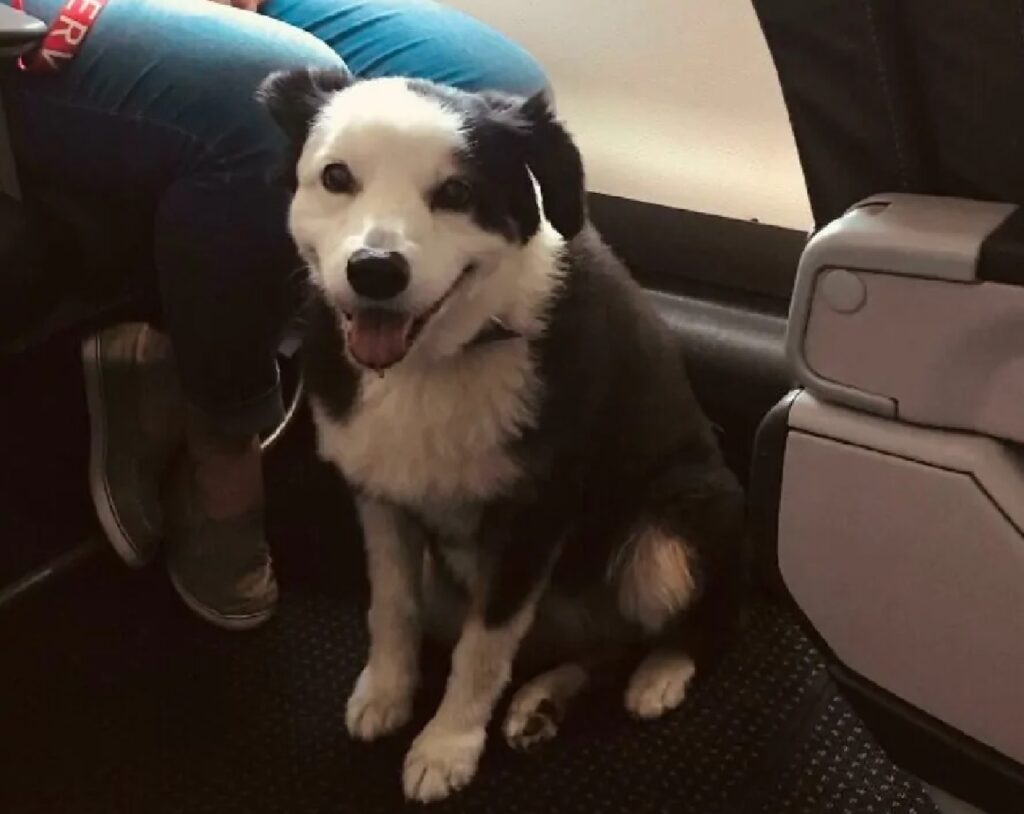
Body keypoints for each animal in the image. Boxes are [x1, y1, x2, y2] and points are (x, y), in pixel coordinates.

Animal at [260, 68, 741, 802]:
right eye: (336, 177)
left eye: (457, 192)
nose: (375, 271)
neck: (438, 357)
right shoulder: (380, 493)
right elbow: (391, 605)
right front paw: (388, 693)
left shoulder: (533, 515)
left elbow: (483, 647)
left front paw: (447, 746)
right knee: (599, 647)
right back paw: (541, 700)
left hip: (672, 531)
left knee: (698, 620)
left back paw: (660, 674)